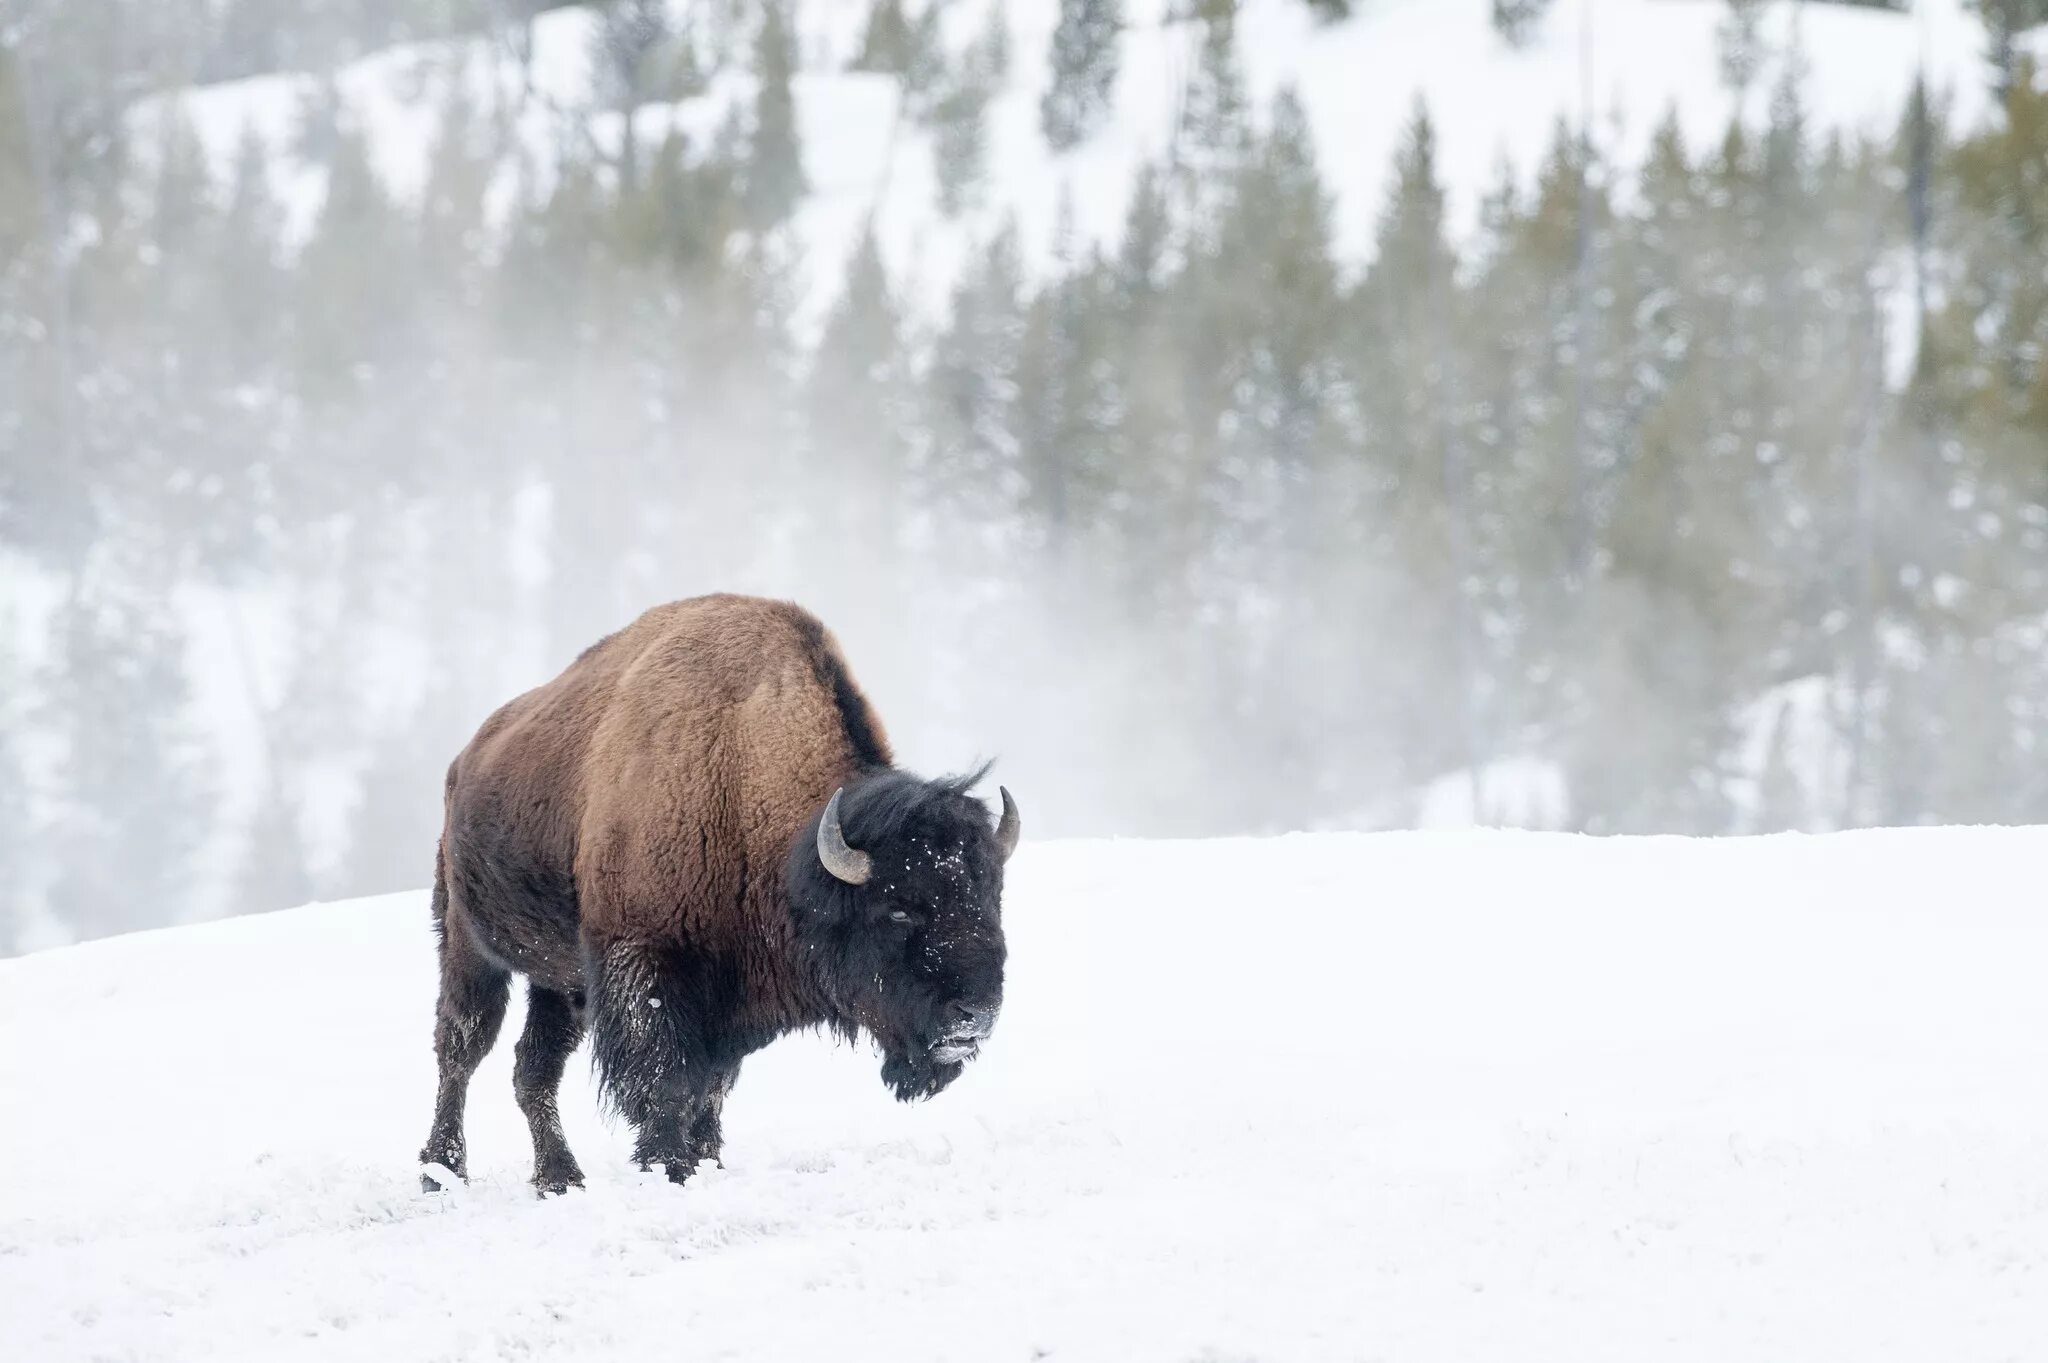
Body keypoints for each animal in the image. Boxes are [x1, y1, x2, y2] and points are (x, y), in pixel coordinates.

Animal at [417, 593, 1024, 1186]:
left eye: (990, 898)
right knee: (462, 1047)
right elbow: (666, 1079)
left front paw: (706, 1158)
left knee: (534, 1066)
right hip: (468, 946)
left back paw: (559, 1177)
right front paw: (668, 1165)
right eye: (897, 910)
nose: (975, 1016)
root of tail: (462, 763)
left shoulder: (731, 996)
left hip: (559, 980)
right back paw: (442, 1171)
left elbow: (710, 1084)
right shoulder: (647, 962)